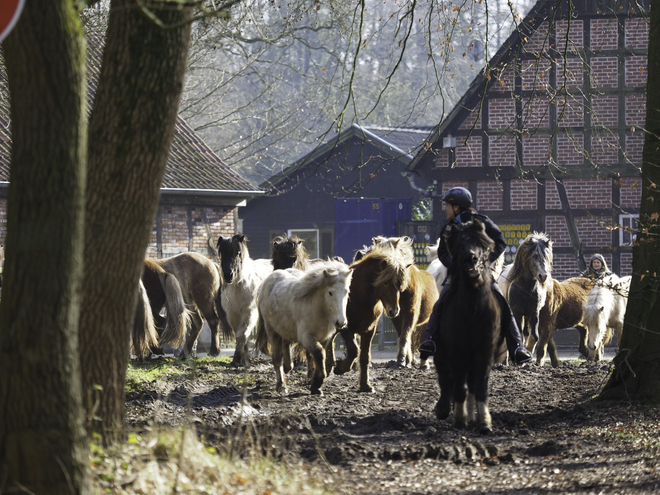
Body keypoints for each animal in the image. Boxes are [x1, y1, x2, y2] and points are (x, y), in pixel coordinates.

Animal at [217, 234, 274, 366]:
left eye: (238, 253)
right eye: (222, 253)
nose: (228, 275)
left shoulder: (249, 313)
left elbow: (242, 334)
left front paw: (238, 358)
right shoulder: (232, 315)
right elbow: (240, 335)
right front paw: (241, 358)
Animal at [255, 260, 354, 396]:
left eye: (346, 291)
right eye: (330, 292)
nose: (341, 322)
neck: (318, 309)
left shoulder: (325, 339)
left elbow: (318, 356)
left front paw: (315, 385)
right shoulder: (306, 337)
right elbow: (319, 353)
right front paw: (317, 382)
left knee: (285, 345)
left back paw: (287, 367)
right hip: (272, 331)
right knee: (277, 358)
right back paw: (281, 385)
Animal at [328, 246, 410, 394]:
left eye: (400, 285)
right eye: (385, 282)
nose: (394, 311)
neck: (359, 295)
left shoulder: (369, 330)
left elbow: (364, 357)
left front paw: (365, 385)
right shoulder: (346, 328)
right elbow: (354, 350)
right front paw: (341, 368)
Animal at [354, 236, 440, 368]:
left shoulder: (410, 313)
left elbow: (405, 335)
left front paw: (402, 359)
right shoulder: (396, 315)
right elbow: (402, 336)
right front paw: (404, 359)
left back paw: (424, 364)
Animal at [434, 220, 500, 434]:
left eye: (481, 243)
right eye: (457, 245)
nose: (470, 259)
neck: (473, 310)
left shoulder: (484, 352)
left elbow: (480, 387)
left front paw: (484, 422)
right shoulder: (457, 352)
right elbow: (458, 387)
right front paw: (459, 419)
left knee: (470, 385)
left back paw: (473, 416)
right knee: (447, 380)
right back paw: (446, 409)